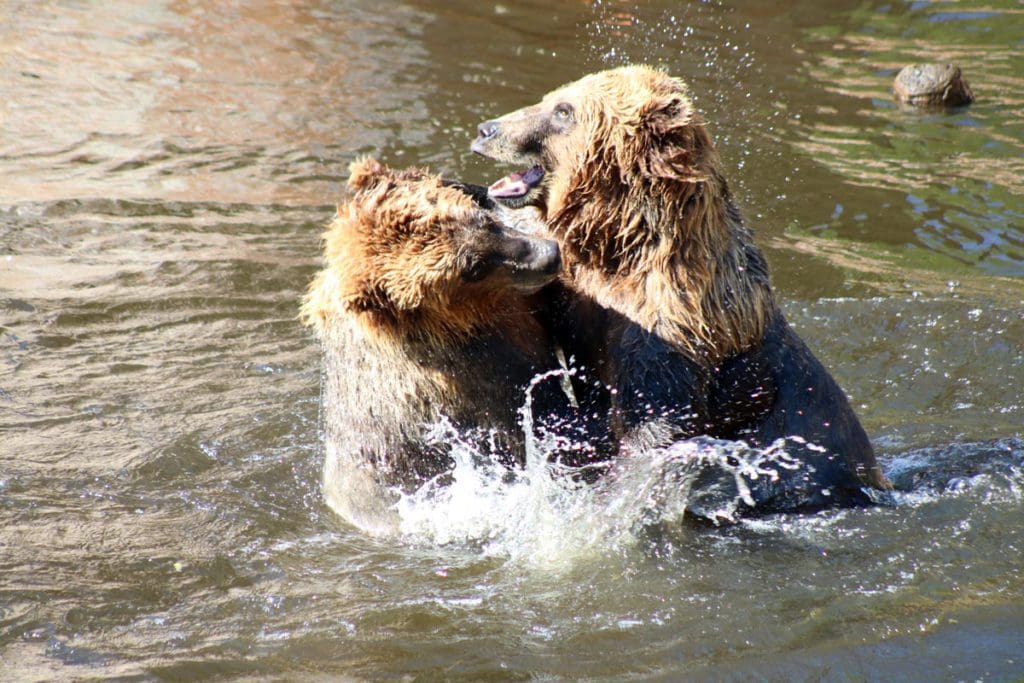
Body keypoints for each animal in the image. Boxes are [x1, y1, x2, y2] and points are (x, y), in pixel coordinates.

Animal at [468, 66, 888, 516]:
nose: (486, 129)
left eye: (564, 110)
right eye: (552, 98)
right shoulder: (583, 294)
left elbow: (654, 423)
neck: (625, 246)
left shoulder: (672, 327)